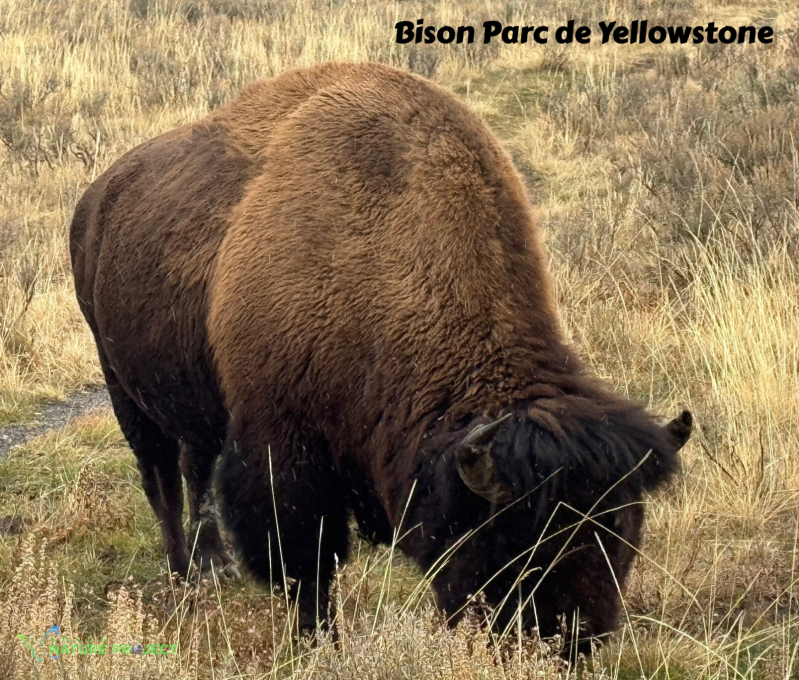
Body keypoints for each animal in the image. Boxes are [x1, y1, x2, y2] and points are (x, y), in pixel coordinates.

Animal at [70, 62, 692, 646]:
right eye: (517, 541)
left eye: (625, 535)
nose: (573, 639)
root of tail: (94, 200)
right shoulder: (283, 450)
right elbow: (307, 565)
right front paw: (320, 642)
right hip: (122, 389)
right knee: (161, 484)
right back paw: (183, 581)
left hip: (193, 405)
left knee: (193, 470)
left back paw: (214, 568)